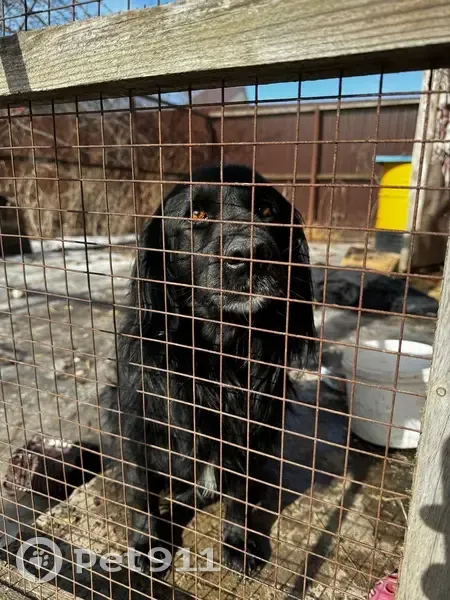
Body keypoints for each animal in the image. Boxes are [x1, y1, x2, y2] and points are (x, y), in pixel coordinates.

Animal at [100, 164, 315, 575]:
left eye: (267, 210)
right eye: (196, 215)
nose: (251, 254)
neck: (217, 352)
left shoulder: (252, 431)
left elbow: (240, 495)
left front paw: (238, 543)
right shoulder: (134, 425)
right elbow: (140, 491)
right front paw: (146, 545)